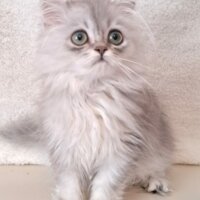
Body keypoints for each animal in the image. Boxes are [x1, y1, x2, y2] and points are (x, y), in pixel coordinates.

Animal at [28, 0, 174, 200]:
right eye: (79, 37)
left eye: (115, 37)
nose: (101, 49)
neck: (94, 96)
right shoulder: (64, 148)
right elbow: (69, 186)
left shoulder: (121, 149)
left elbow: (105, 185)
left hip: (157, 147)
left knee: (156, 166)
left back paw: (155, 183)